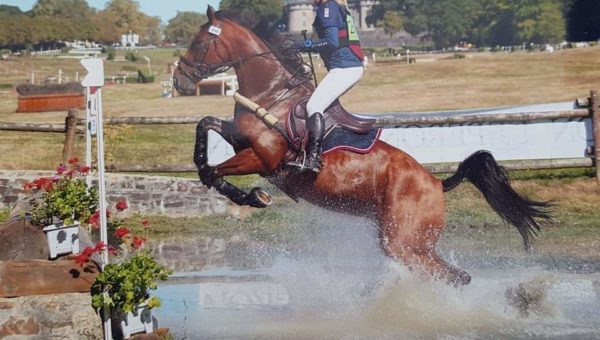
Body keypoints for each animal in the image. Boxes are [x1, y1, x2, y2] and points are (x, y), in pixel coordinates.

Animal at [172, 6, 548, 286]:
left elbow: (215, 171)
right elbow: (204, 125)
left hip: (403, 242)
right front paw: (234, 186)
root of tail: (437, 184)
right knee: (451, 275)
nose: (180, 81)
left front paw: (251, 196)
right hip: (404, 241)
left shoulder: (263, 158)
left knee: (452, 276)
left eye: (200, 41)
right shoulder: (239, 139)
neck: (273, 94)